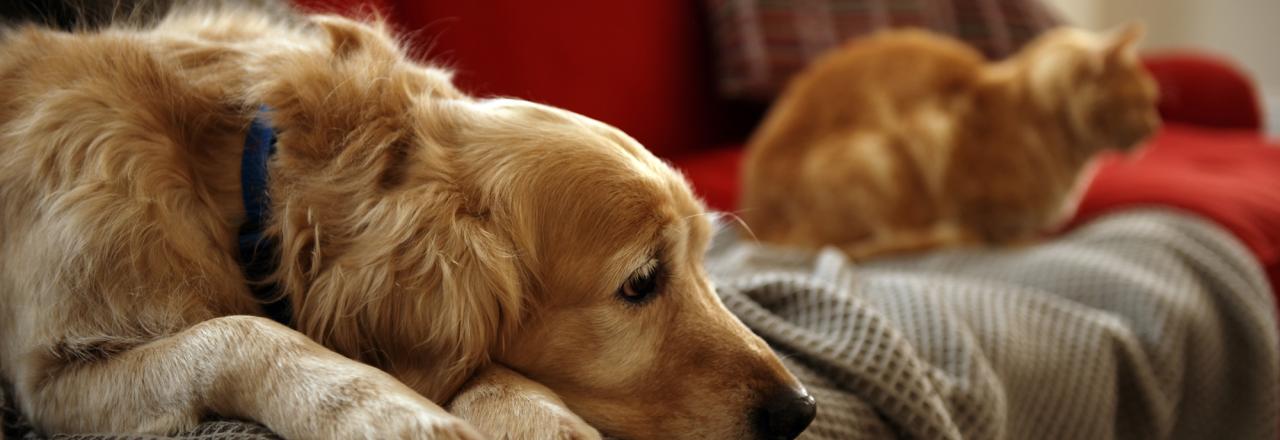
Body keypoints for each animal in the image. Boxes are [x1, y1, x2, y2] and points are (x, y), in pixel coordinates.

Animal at [0, 5, 814, 440]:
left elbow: (486, 367)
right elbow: (240, 332)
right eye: (641, 283)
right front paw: (386, 411)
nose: (801, 410)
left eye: (707, 258)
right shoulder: (54, 377)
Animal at [742, 24, 1162, 258]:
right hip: (876, 156)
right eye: (1142, 102)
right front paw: (1019, 241)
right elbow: (994, 227)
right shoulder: (940, 139)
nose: (1156, 126)